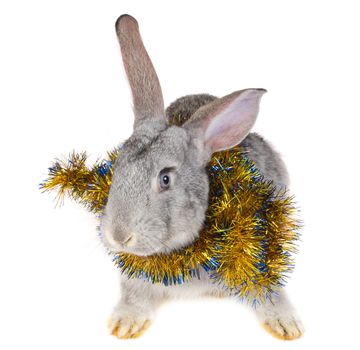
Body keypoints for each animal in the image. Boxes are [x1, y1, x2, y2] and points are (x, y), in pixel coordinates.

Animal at [101, 15, 304, 340]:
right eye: (116, 168)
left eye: (165, 179)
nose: (119, 236)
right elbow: (135, 292)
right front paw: (124, 323)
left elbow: (268, 288)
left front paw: (286, 325)